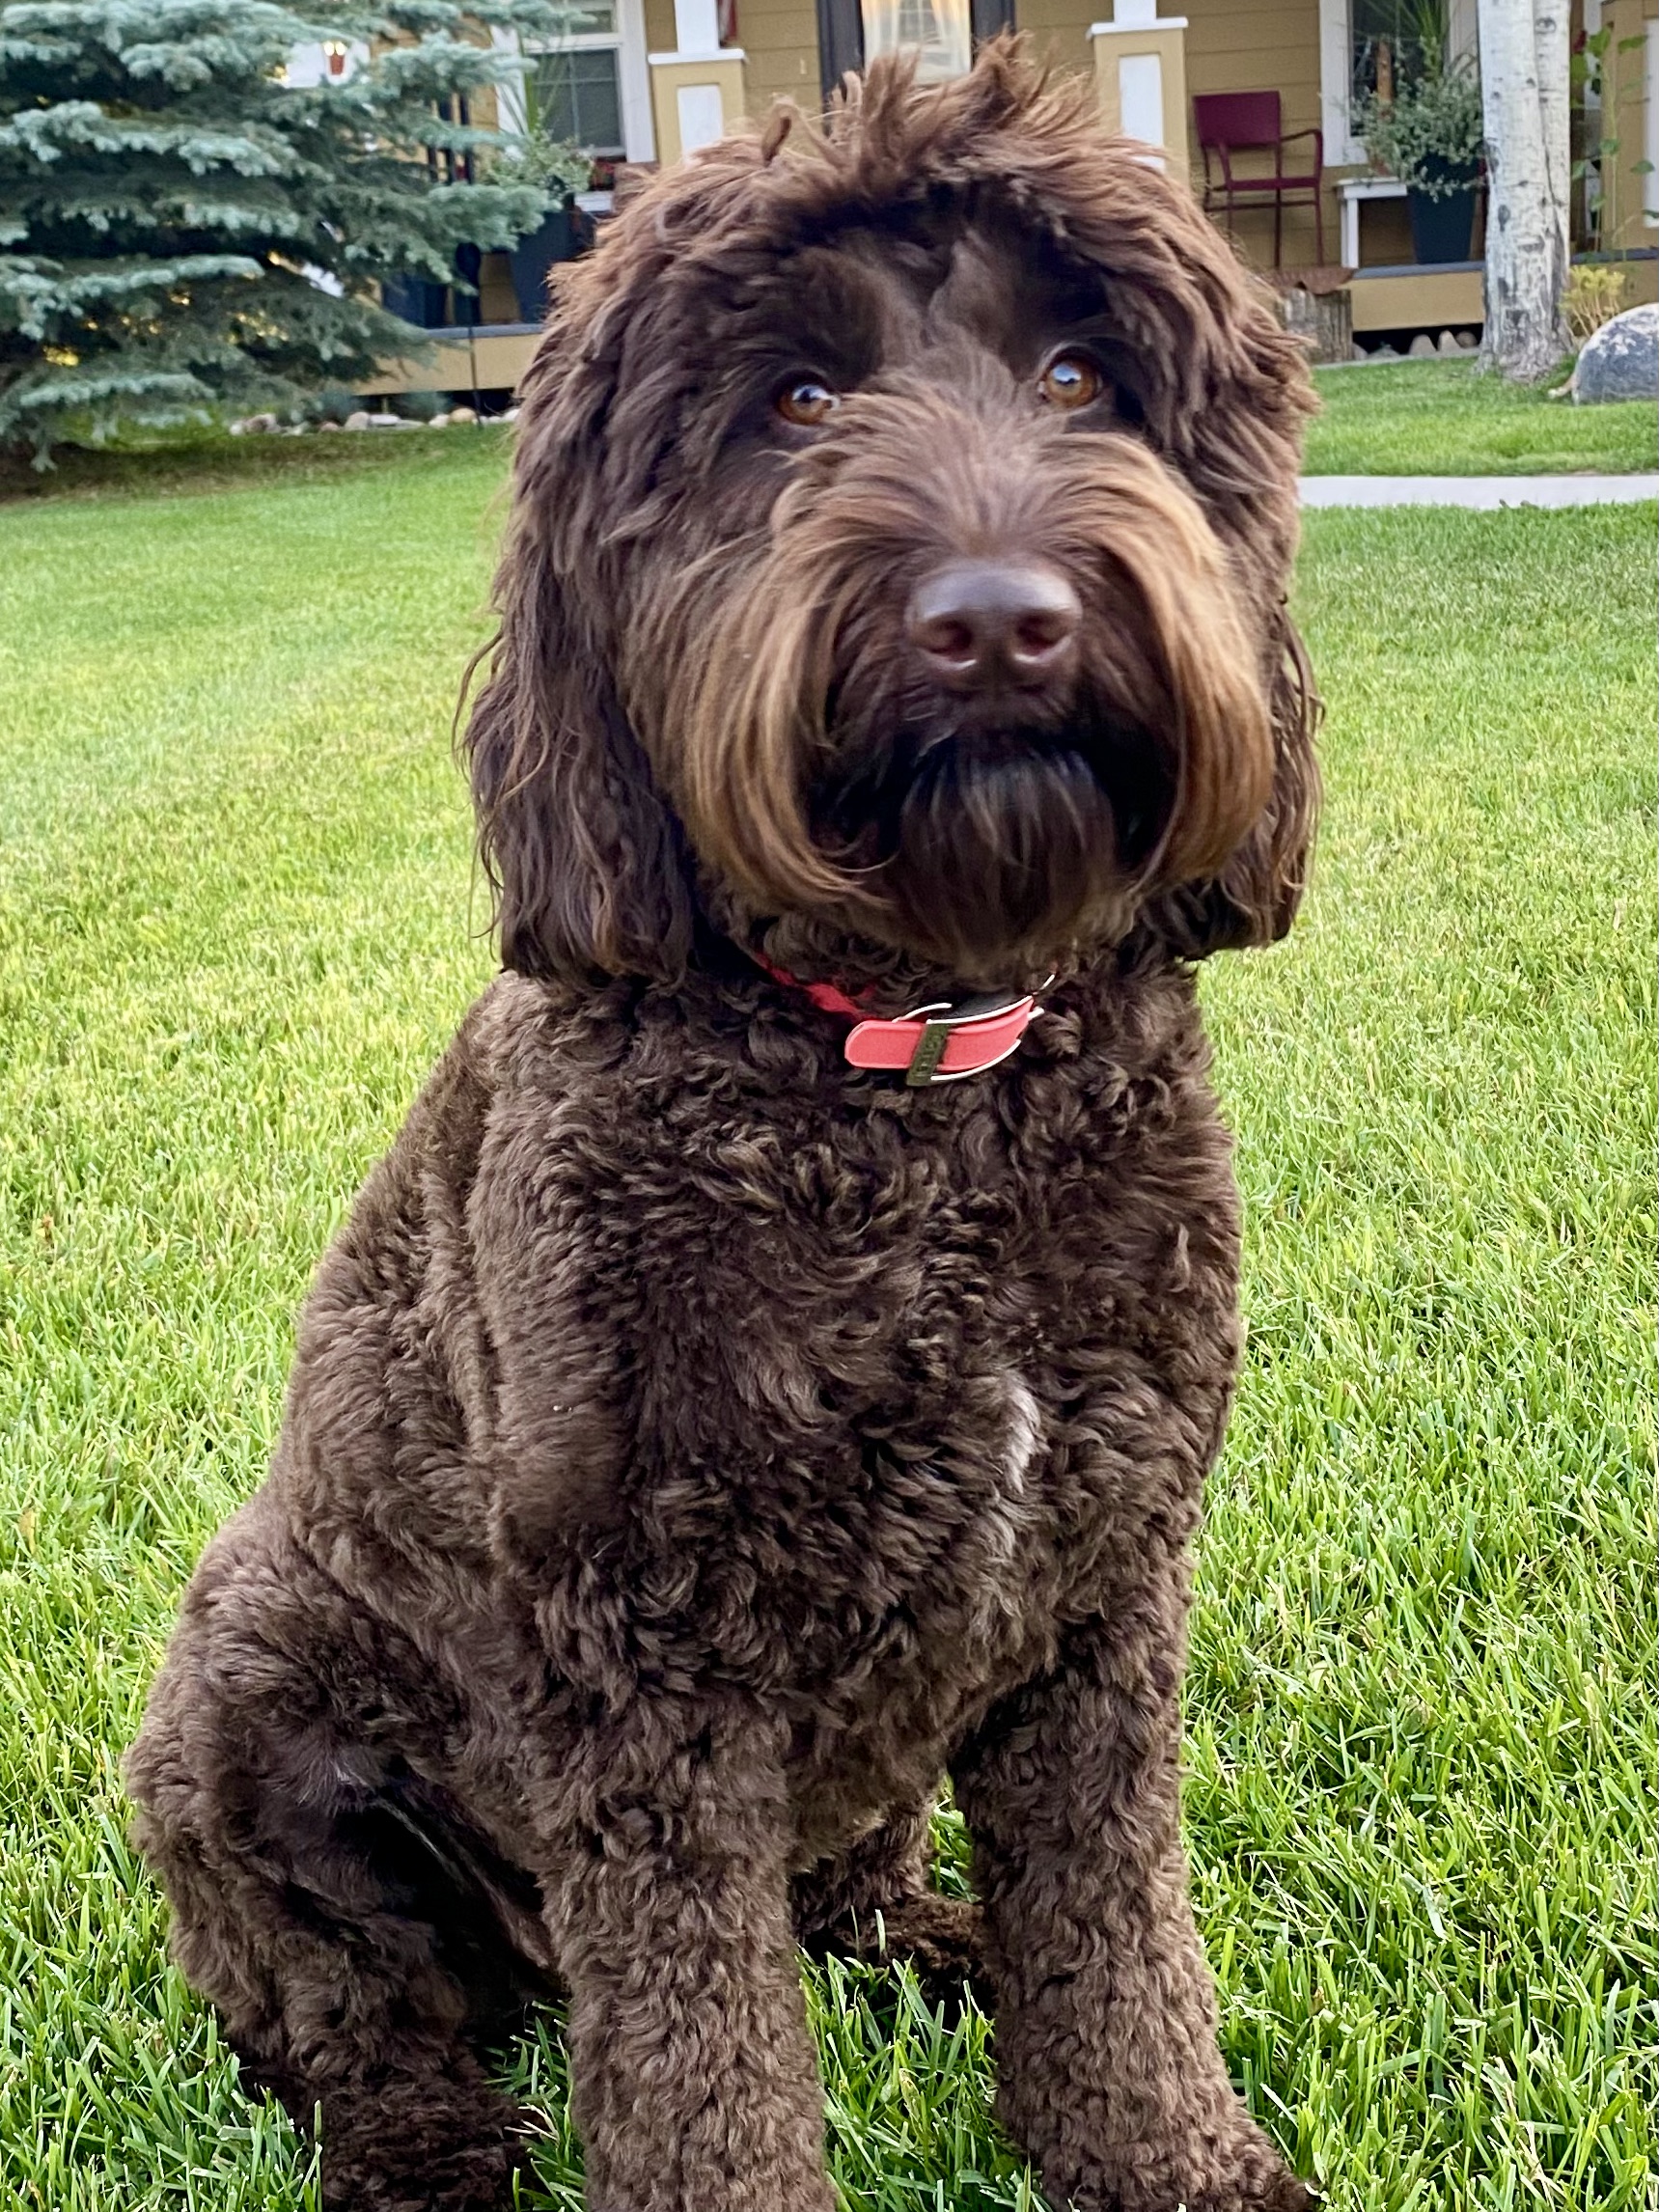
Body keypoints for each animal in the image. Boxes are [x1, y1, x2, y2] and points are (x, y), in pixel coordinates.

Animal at [126, 39, 1327, 2212]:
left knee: (847, 1896)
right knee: (350, 2015)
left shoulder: (1099, 1591)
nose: (998, 619)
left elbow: (1114, 1934)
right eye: (788, 404)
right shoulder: (640, 1677)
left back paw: (934, 1941)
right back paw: (429, 2149)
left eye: (1080, 377)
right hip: (250, 1691)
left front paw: (1164, 2158)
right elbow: (702, 2047)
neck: (919, 1084)